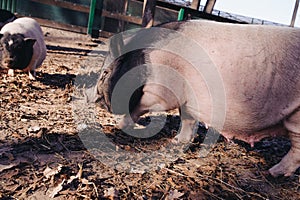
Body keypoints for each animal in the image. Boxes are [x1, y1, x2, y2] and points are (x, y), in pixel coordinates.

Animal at [95, 19, 300, 177]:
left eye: (105, 73)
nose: (95, 98)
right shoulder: (187, 101)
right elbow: (187, 119)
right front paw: (178, 141)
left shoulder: (160, 92)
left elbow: (140, 107)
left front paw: (119, 126)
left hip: (297, 117)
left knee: (296, 152)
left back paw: (274, 173)